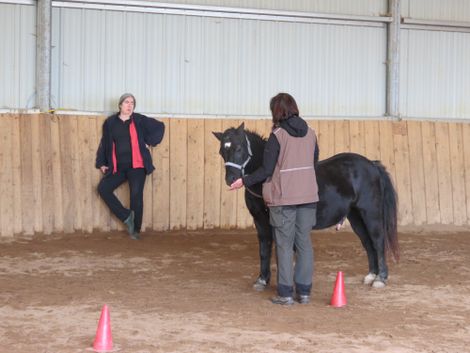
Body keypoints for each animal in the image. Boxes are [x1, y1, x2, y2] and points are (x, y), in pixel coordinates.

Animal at [214, 123, 400, 288]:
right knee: (368, 243)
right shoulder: (260, 221)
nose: (231, 179)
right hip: (356, 217)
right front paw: (262, 280)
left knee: (377, 241)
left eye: (239, 148)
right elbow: (264, 249)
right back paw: (371, 275)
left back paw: (380, 278)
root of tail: (372, 164)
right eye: (222, 151)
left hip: (370, 213)